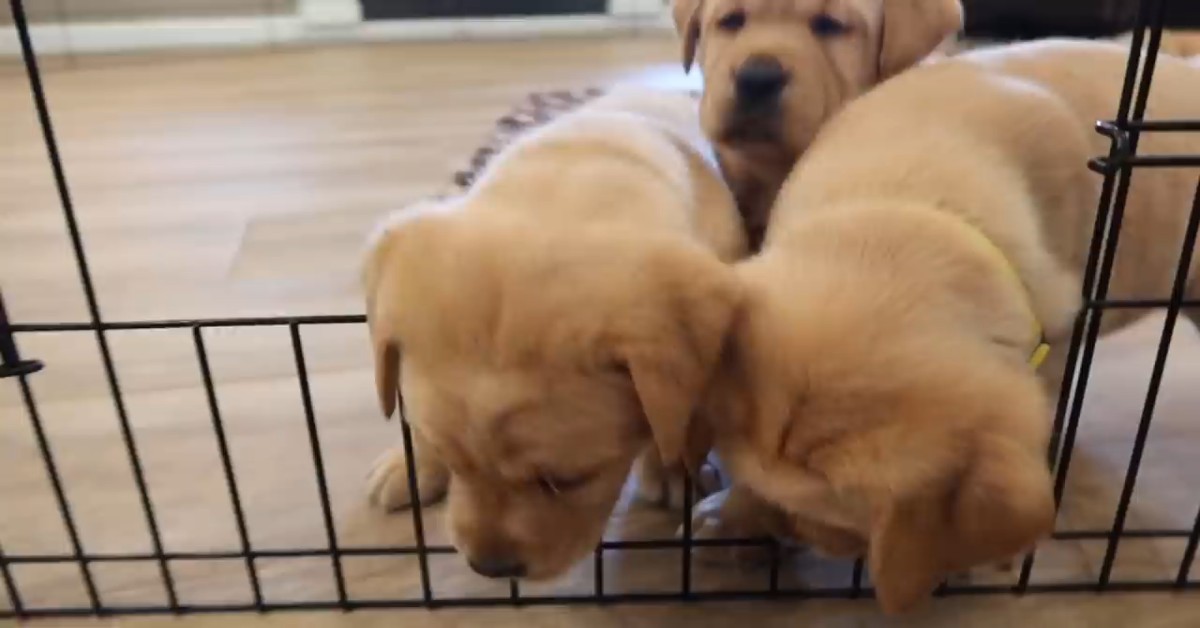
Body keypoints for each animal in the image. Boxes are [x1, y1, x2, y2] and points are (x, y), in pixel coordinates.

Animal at [360, 85, 744, 583]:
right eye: (455, 460)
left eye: (567, 481)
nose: (491, 567)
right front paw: (413, 461)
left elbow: (674, 422)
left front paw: (672, 469)